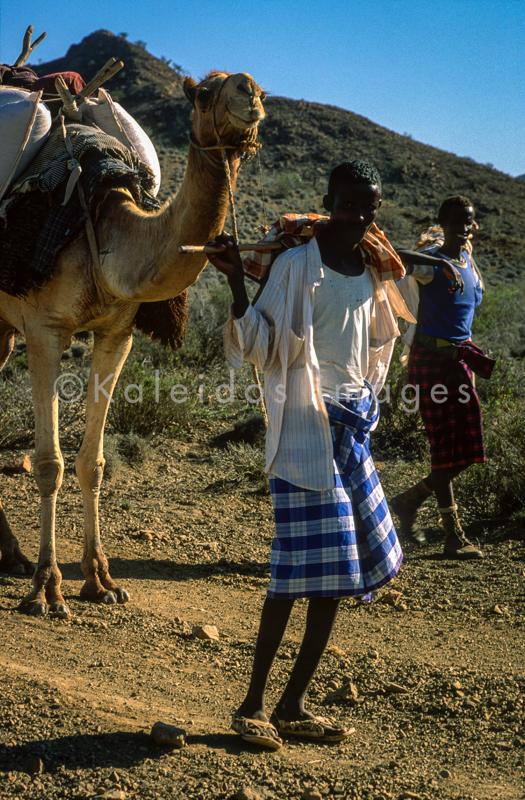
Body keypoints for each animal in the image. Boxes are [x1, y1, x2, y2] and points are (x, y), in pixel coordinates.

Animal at [0, 70, 264, 620]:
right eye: (203, 94)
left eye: (262, 93)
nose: (248, 92)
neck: (105, 229)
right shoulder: (44, 329)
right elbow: (50, 465)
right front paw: (47, 590)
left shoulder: (116, 334)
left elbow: (93, 463)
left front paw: (100, 581)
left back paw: (11, 555)